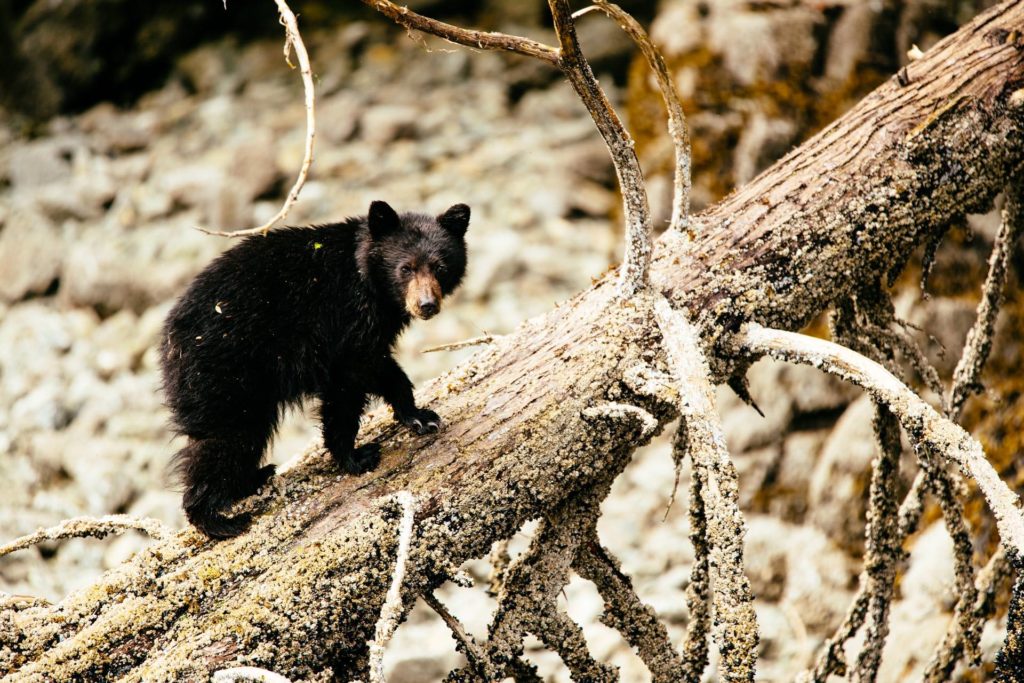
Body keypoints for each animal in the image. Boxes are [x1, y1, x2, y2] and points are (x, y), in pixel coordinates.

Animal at [160, 200, 470, 539]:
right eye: (406, 268)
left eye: (440, 267)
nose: (426, 305)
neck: (366, 279)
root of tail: (169, 343)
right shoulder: (344, 321)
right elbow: (359, 377)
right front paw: (360, 454)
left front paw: (413, 418)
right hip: (225, 374)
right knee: (226, 440)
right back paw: (217, 519)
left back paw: (254, 477)